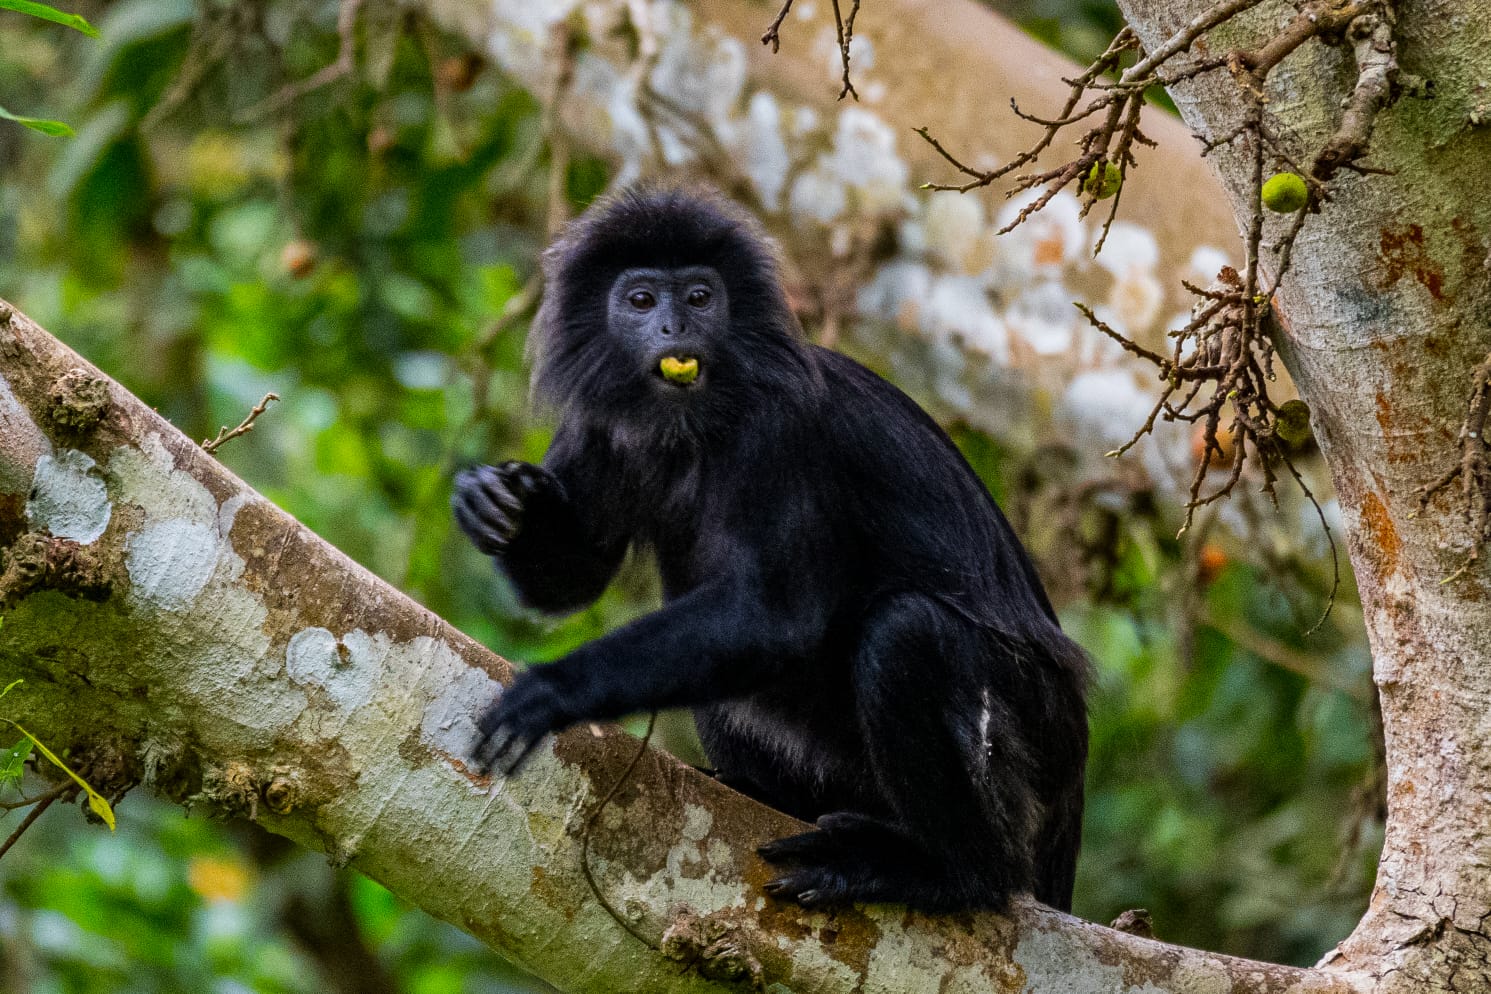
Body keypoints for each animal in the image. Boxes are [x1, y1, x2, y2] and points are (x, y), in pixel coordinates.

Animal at [452, 187, 1089, 913]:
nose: (674, 330)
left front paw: (553, 688)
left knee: (908, 634)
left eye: (700, 297)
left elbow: (775, 618)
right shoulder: (600, 421)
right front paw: (496, 502)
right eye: (641, 300)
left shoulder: (781, 427)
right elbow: (571, 581)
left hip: (1029, 749)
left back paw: (945, 872)